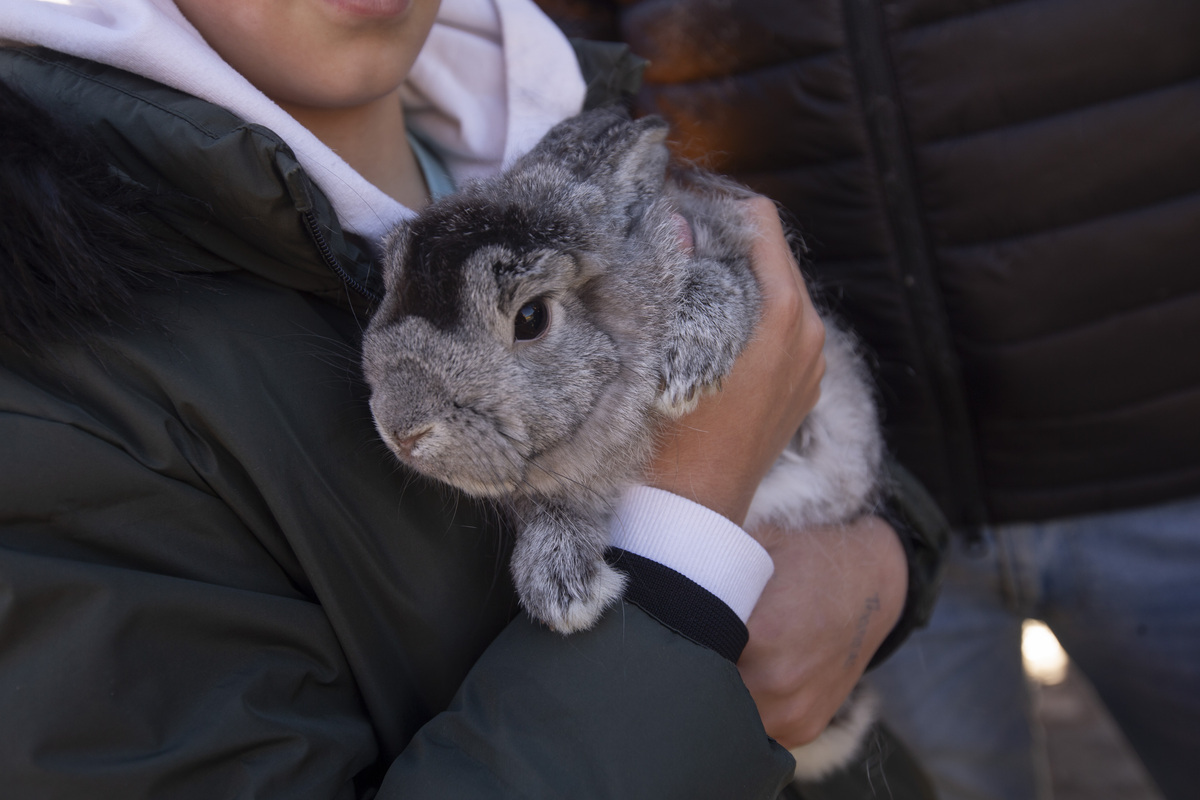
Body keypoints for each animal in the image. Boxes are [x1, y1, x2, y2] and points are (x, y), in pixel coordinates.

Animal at [360, 109, 888, 777]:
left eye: (530, 319)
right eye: (390, 288)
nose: (402, 427)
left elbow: (726, 276)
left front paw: (686, 365)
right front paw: (565, 593)